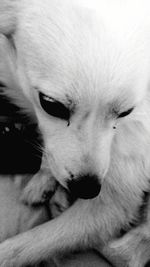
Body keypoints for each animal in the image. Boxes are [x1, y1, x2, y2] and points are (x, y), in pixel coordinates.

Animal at [0, 0, 150, 266]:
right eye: (51, 105)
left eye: (126, 112)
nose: (87, 190)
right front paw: (44, 177)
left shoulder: (115, 201)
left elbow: (25, 247)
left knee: (125, 253)